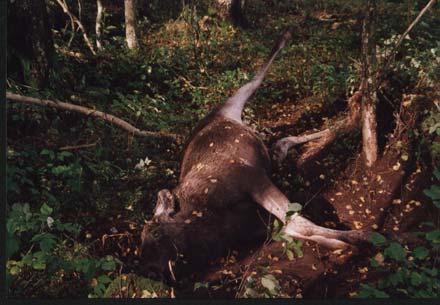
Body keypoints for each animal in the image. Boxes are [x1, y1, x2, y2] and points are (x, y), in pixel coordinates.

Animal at [139, 30, 370, 280]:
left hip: (236, 99)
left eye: (155, 231)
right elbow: (295, 227)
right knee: (282, 139)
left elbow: (301, 223)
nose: (151, 271)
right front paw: (344, 245)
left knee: (256, 77)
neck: (205, 218)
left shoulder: (251, 178)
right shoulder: (255, 222)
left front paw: (360, 236)